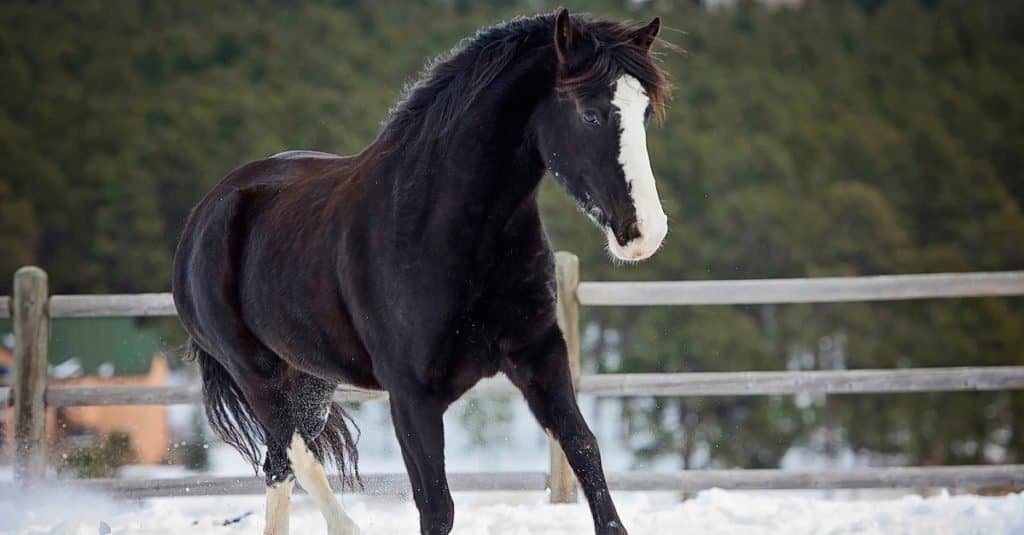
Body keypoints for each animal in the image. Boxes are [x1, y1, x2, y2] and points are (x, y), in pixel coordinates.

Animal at [174, 8, 671, 532]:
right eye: (591, 113)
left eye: (643, 113)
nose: (645, 232)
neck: (443, 229)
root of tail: (206, 213)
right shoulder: (411, 395)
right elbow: (436, 504)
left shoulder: (539, 355)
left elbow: (585, 452)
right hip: (256, 372)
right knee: (297, 456)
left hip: (310, 379)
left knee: (280, 467)